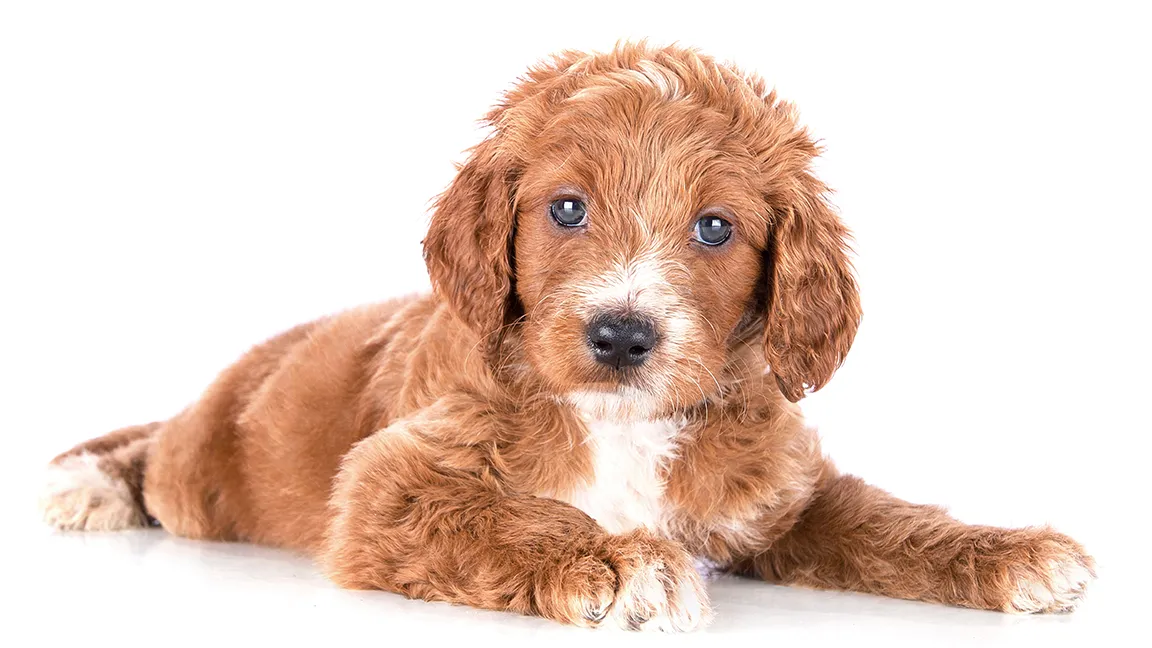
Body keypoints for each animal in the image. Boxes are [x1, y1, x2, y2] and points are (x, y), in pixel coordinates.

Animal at [40, 42, 1092, 627]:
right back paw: (89, 485)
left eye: (717, 228)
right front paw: (619, 561)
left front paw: (1008, 552)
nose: (622, 334)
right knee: (152, 455)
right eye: (567, 208)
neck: (619, 421)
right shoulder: (389, 483)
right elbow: (501, 513)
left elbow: (884, 518)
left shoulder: (782, 491)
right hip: (203, 475)